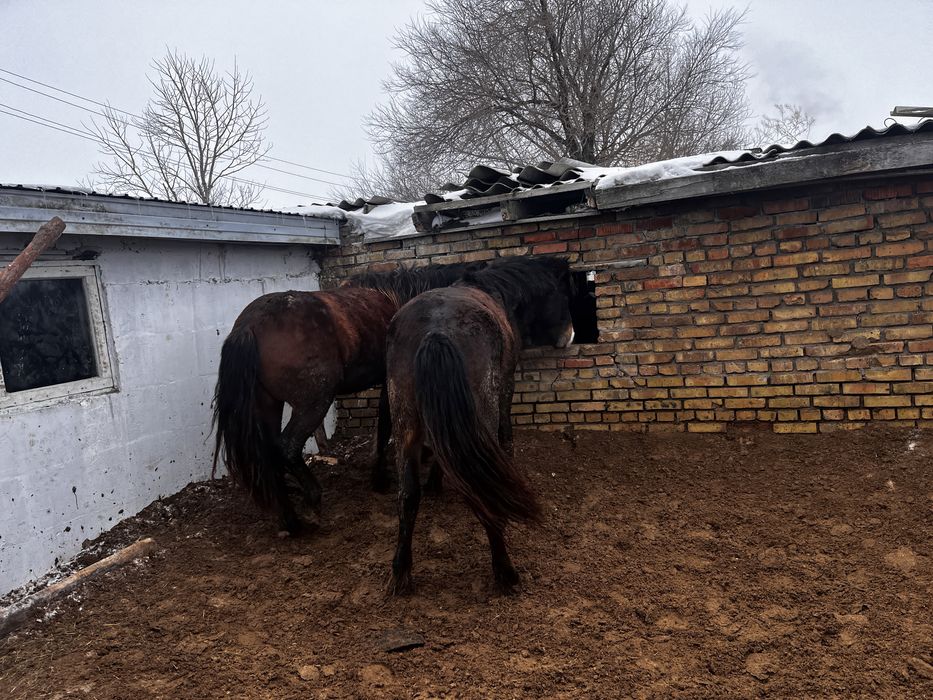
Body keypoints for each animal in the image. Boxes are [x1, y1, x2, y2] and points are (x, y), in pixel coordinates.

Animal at [211, 261, 484, 535]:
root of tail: (249, 326)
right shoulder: (389, 382)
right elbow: (384, 426)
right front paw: (379, 479)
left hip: (269, 404)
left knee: (269, 455)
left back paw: (291, 521)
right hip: (313, 403)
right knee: (287, 447)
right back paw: (312, 499)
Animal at [384, 256, 576, 594]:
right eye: (564, 296)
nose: (570, 336)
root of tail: (436, 330)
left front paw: (436, 481)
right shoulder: (506, 386)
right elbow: (506, 434)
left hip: (404, 422)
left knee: (407, 494)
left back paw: (401, 572)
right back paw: (505, 572)